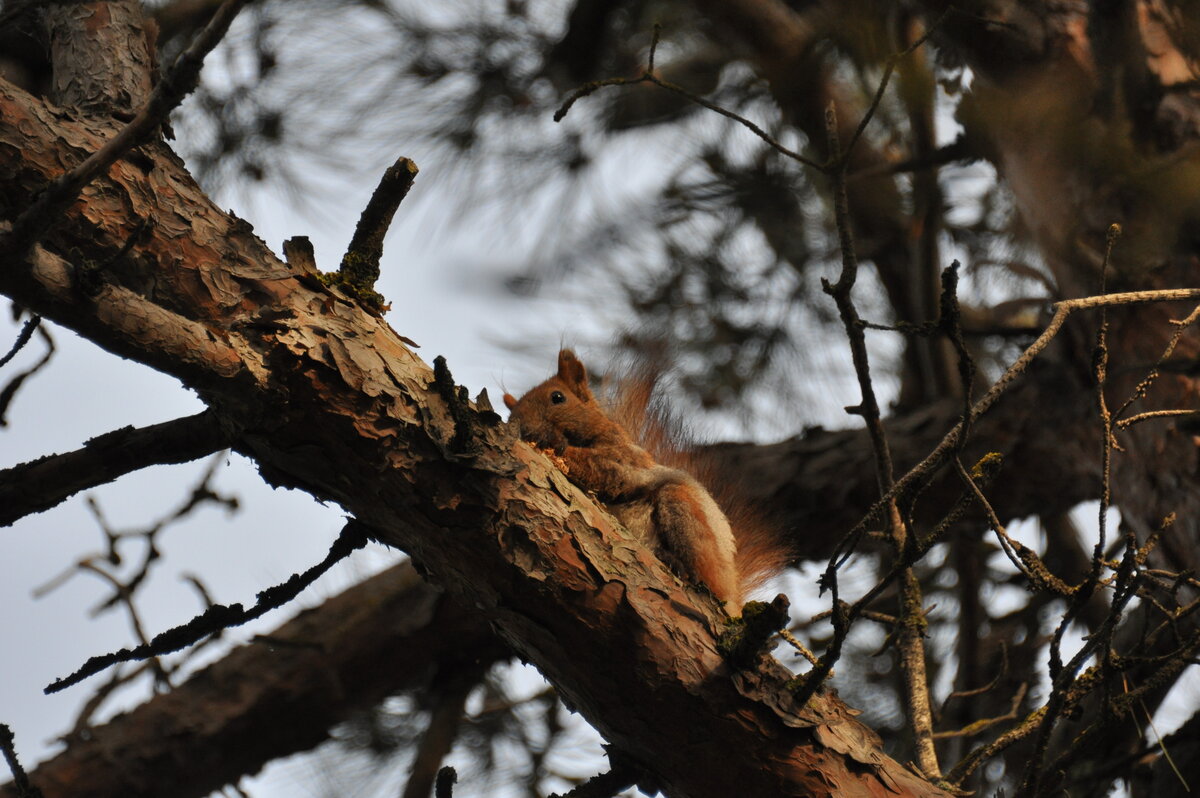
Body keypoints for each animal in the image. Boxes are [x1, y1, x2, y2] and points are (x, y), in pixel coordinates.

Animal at [499, 348, 787, 604]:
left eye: (557, 397)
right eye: (512, 413)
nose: (522, 426)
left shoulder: (628, 461)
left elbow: (606, 470)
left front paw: (549, 441)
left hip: (684, 509)